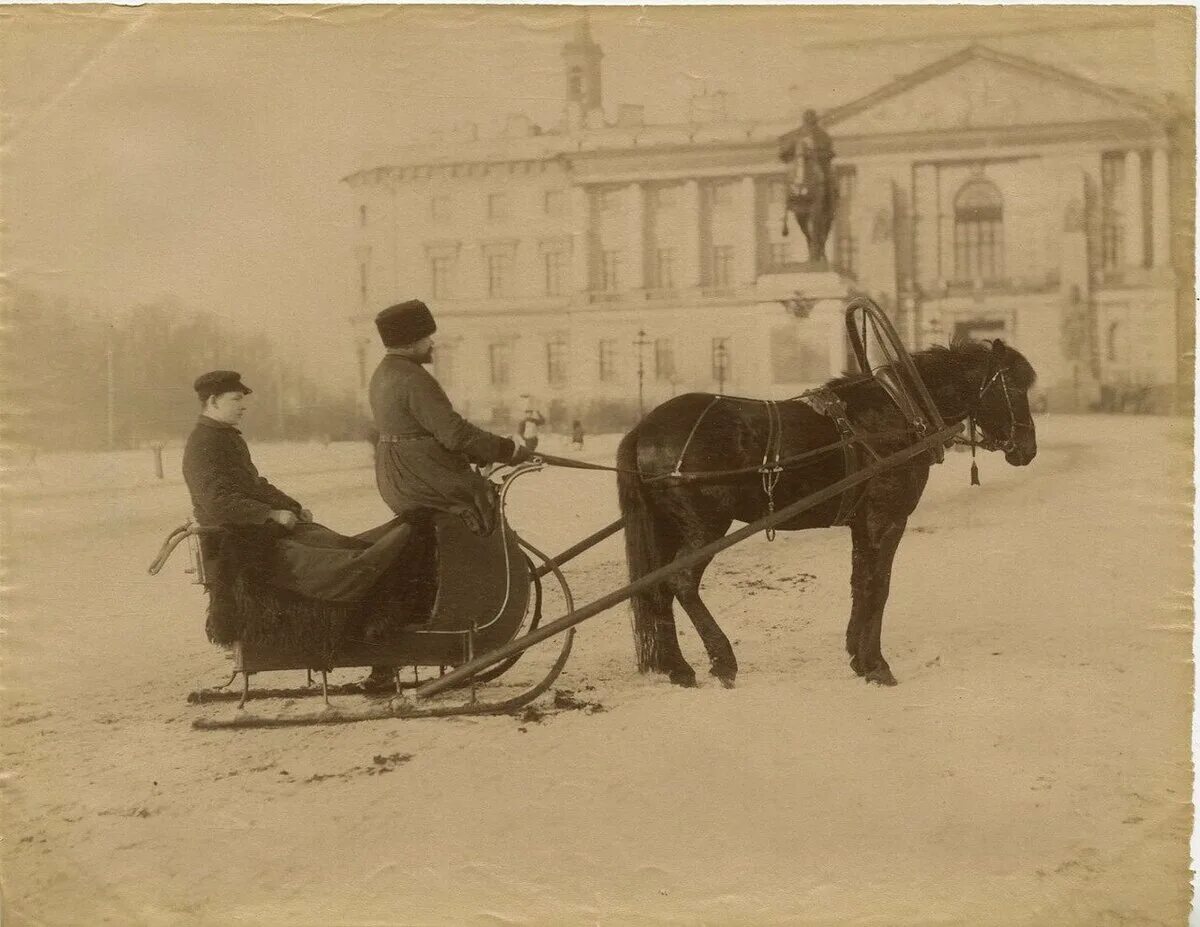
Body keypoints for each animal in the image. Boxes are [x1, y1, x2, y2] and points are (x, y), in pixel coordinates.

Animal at [614, 341, 1036, 686]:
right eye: (1015, 389)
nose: (1028, 449)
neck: (900, 411)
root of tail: (644, 428)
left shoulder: (862, 524)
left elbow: (860, 582)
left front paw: (858, 657)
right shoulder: (886, 519)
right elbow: (879, 586)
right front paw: (877, 665)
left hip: (667, 528)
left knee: (657, 586)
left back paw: (678, 668)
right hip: (706, 527)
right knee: (682, 580)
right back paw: (722, 661)